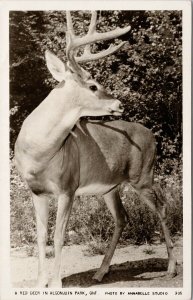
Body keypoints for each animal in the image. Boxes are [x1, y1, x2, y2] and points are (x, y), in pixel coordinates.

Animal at [14, 11, 177, 288]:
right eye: (93, 86)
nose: (119, 104)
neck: (39, 153)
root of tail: (151, 135)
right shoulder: (36, 191)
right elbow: (41, 236)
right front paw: (40, 283)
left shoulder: (68, 187)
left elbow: (59, 236)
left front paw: (56, 284)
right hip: (110, 187)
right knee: (122, 217)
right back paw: (101, 272)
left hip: (143, 175)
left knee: (163, 206)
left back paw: (171, 268)